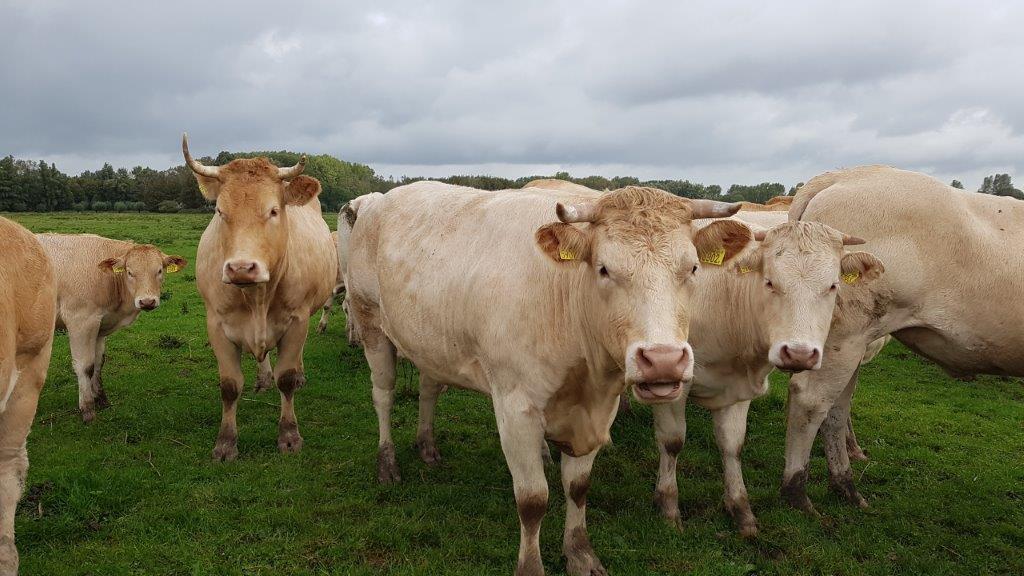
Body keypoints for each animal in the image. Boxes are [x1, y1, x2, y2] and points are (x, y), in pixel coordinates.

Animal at [36, 234, 187, 422]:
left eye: (159, 271)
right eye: (130, 272)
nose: (147, 302)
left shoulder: (100, 326)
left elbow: (98, 363)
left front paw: (101, 400)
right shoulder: (80, 321)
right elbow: (85, 366)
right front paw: (87, 409)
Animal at [184, 134, 337, 461]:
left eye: (273, 211)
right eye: (220, 212)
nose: (241, 268)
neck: (257, 298)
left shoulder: (297, 321)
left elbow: (286, 378)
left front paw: (289, 436)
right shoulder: (216, 324)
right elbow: (230, 386)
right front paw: (225, 443)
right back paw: (263, 378)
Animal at [346, 180, 753, 575]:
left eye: (693, 268)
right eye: (604, 269)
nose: (663, 360)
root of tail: (376, 201)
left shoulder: (597, 410)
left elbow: (578, 487)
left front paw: (580, 554)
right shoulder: (515, 409)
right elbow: (532, 500)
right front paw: (530, 566)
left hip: (432, 343)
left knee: (429, 388)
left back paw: (427, 446)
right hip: (370, 322)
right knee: (383, 395)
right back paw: (387, 463)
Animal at [781, 165, 1024, 515]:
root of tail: (844, 174)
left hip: (851, 341)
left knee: (836, 409)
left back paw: (846, 487)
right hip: (846, 332)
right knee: (811, 402)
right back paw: (797, 494)